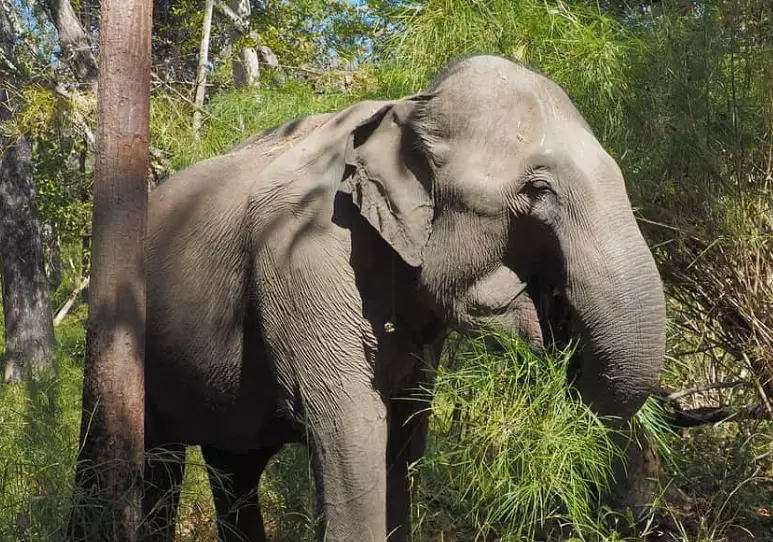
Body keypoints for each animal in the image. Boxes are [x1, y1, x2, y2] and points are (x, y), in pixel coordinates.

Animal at [141, 55, 666, 542]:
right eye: (537, 188)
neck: (409, 106)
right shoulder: (303, 256)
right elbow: (351, 428)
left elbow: (404, 433)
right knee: (153, 459)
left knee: (234, 468)